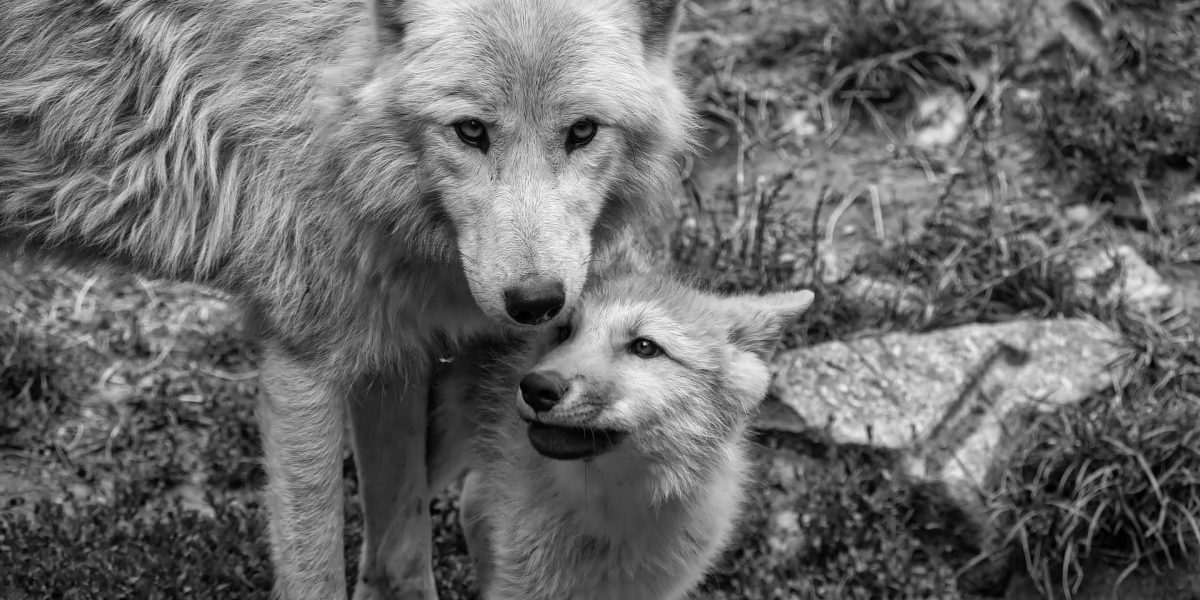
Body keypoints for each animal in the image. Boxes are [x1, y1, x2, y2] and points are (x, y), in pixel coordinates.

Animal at [0, 0, 696, 598]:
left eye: (582, 131)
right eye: (470, 130)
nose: (536, 302)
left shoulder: (391, 353)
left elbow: (400, 557)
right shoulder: (301, 362)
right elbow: (317, 574)